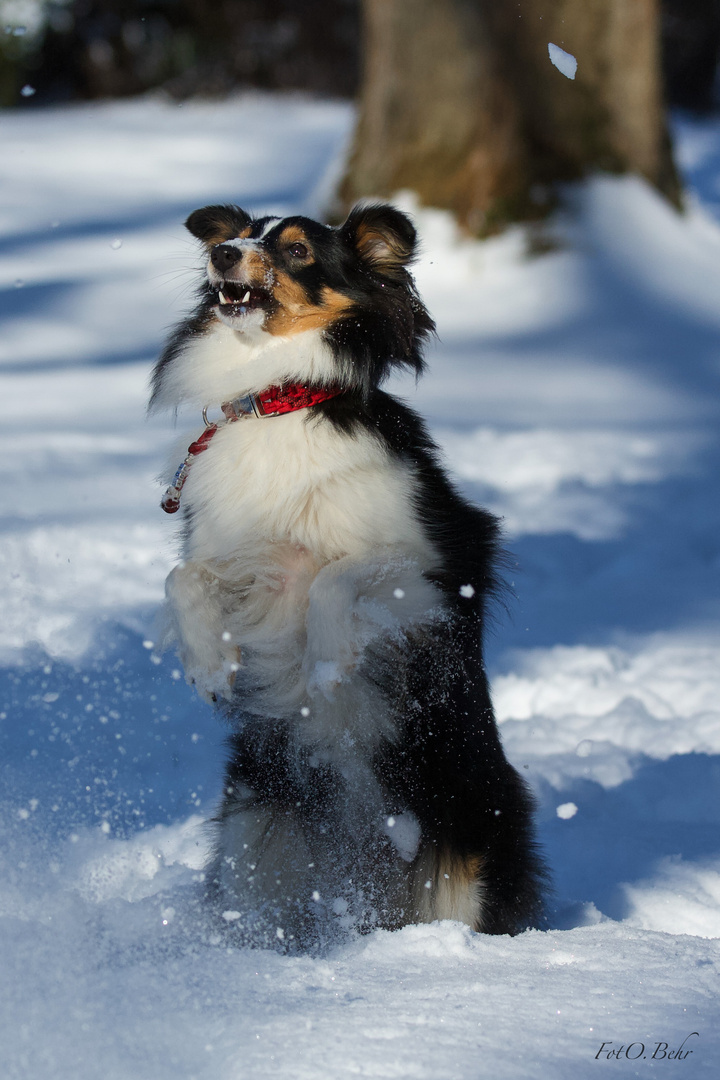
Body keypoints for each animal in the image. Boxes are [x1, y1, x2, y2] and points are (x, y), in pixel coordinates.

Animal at [152, 200, 546, 946]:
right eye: (235, 235)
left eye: (298, 249)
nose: (222, 256)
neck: (281, 396)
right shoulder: (244, 558)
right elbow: (182, 579)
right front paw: (209, 664)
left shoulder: (440, 570)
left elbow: (337, 577)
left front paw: (329, 664)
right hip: (257, 833)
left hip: (467, 839)